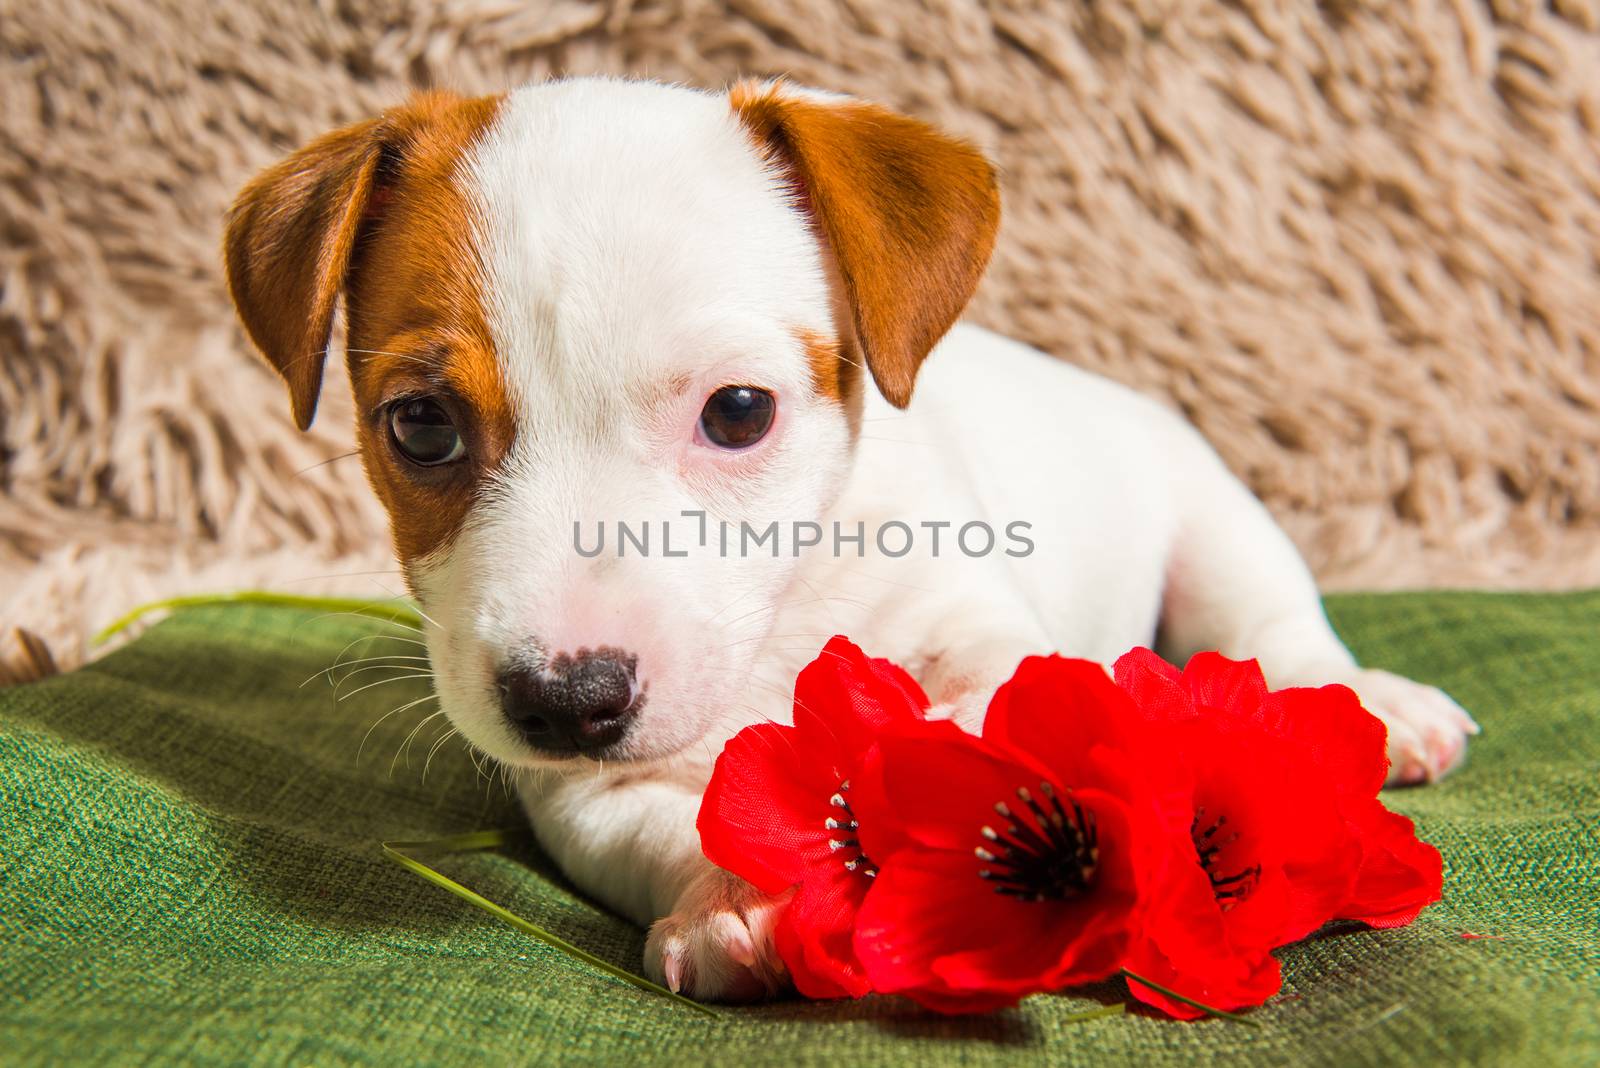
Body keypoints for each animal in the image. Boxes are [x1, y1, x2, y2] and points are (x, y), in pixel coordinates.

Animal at [222, 77, 1472, 1004]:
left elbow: (970, 720)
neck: (785, 617)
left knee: (1274, 627)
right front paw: (735, 902)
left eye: (738, 412)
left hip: (1213, 522)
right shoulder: (581, 802)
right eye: (420, 426)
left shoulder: (986, 634)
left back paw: (1370, 707)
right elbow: (667, 824)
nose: (566, 703)